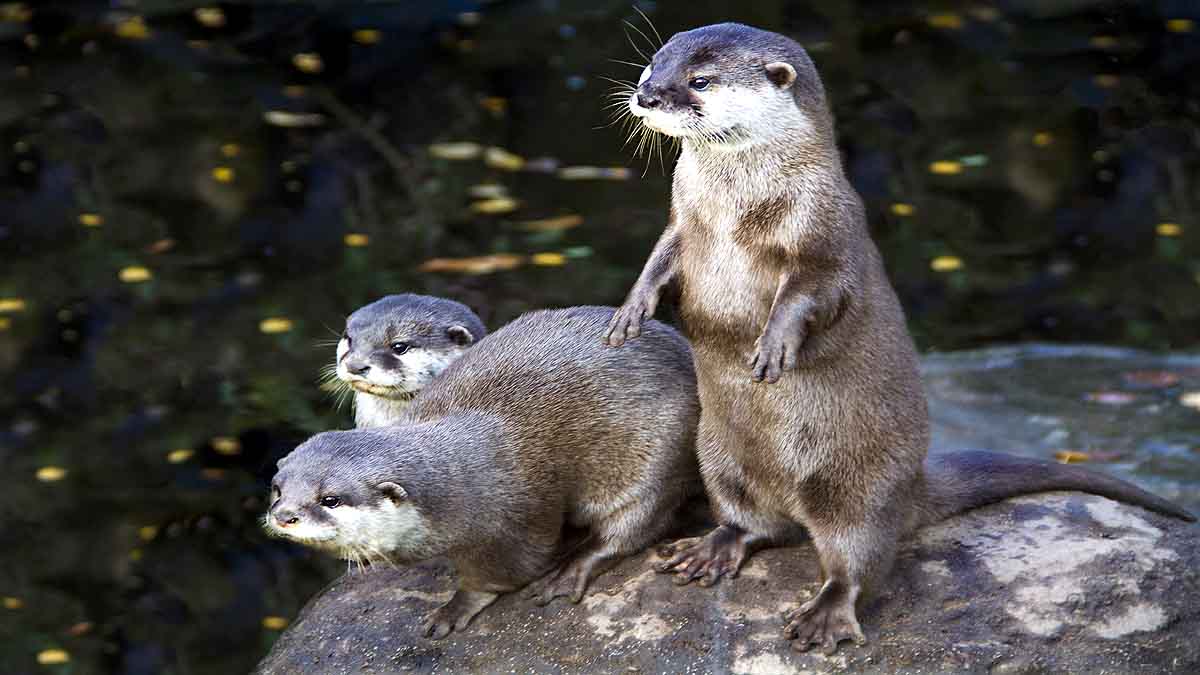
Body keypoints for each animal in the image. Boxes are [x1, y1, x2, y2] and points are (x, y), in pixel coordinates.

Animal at [604, 23, 1195, 654]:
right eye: (652, 65)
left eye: (699, 81)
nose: (647, 96)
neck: (740, 209)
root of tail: (911, 484)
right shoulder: (682, 222)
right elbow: (658, 260)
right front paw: (630, 313)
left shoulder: (827, 233)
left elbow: (814, 292)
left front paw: (773, 344)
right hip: (718, 457)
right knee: (754, 523)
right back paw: (715, 547)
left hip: (859, 488)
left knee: (858, 560)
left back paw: (826, 614)